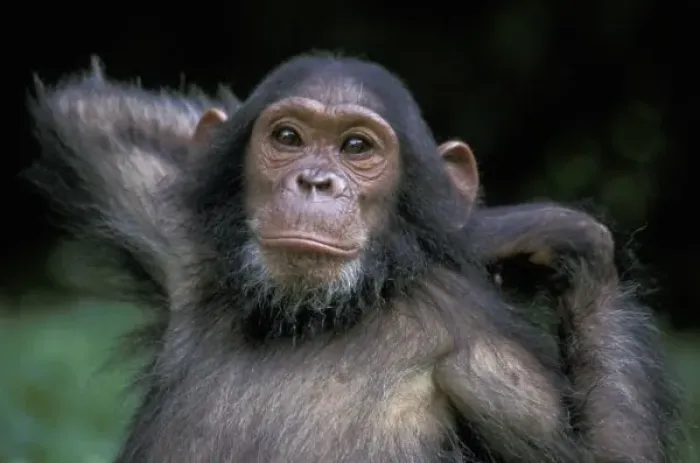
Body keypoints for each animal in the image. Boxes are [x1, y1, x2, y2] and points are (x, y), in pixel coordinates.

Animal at [26, 54, 680, 462]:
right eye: (287, 138)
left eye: (357, 147)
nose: (316, 181)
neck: (315, 317)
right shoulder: (175, 234)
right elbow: (91, 116)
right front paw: (498, 228)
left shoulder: (489, 359)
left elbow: (604, 456)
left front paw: (521, 229)